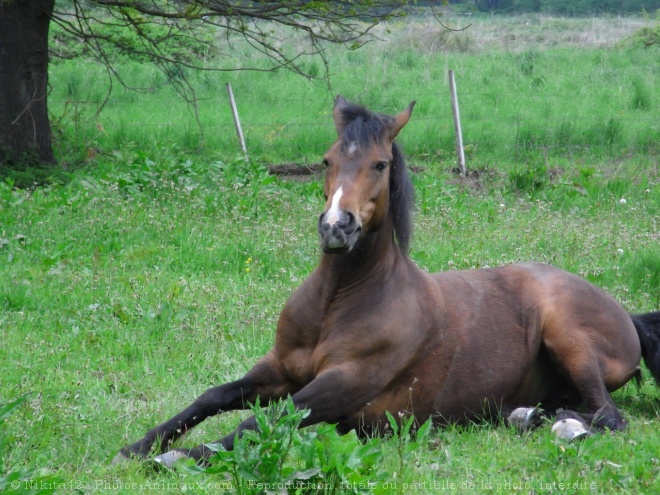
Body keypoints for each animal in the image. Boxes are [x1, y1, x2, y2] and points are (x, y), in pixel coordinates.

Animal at [113, 96, 660, 468]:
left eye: (379, 163)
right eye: (328, 159)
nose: (337, 227)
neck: (337, 301)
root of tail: (626, 315)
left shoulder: (342, 383)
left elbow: (266, 421)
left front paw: (174, 457)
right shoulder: (280, 369)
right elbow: (214, 396)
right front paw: (139, 445)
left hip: (568, 339)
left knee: (609, 418)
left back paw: (563, 427)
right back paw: (527, 416)